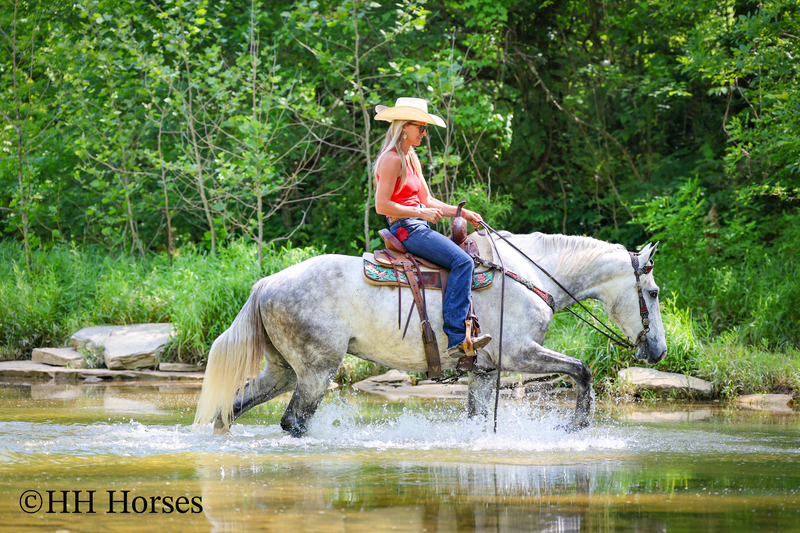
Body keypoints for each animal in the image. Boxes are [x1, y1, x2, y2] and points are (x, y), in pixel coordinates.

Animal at [193, 232, 666, 436]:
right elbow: (582, 370)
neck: (531, 275)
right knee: (293, 421)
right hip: (315, 371)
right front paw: (576, 425)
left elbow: (477, 418)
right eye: (654, 292)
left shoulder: (485, 371)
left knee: (231, 408)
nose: (659, 351)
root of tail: (266, 284)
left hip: (283, 370)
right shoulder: (518, 353)